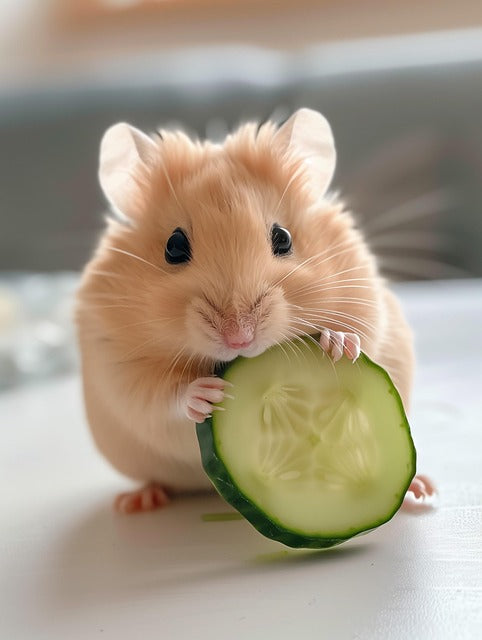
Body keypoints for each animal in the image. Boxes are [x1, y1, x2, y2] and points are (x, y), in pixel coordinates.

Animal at [75, 108, 435, 513]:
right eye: (173, 246)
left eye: (283, 238)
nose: (239, 337)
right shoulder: (115, 363)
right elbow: (158, 398)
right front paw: (205, 394)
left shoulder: (364, 299)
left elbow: (361, 334)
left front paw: (338, 344)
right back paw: (137, 501)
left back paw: (421, 490)